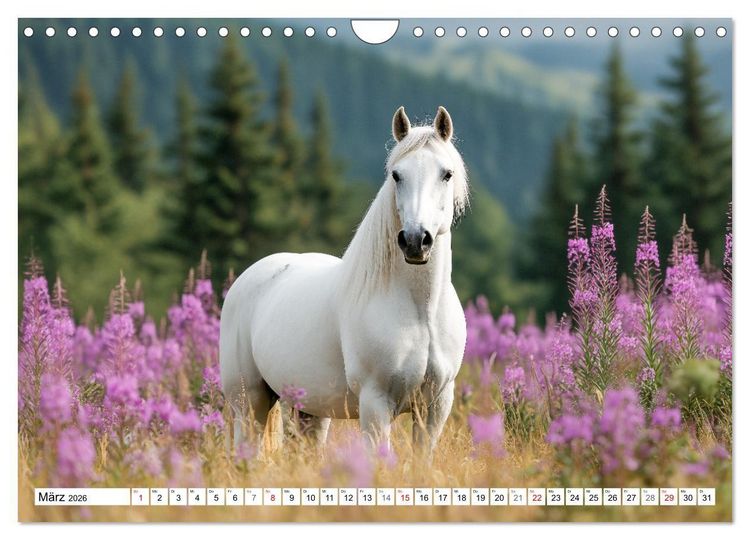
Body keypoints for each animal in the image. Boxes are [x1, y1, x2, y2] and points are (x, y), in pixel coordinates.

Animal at [219, 105, 469, 454]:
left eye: (446, 174)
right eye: (396, 175)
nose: (415, 241)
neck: (421, 312)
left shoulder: (435, 407)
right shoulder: (375, 404)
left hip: (309, 410)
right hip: (249, 402)